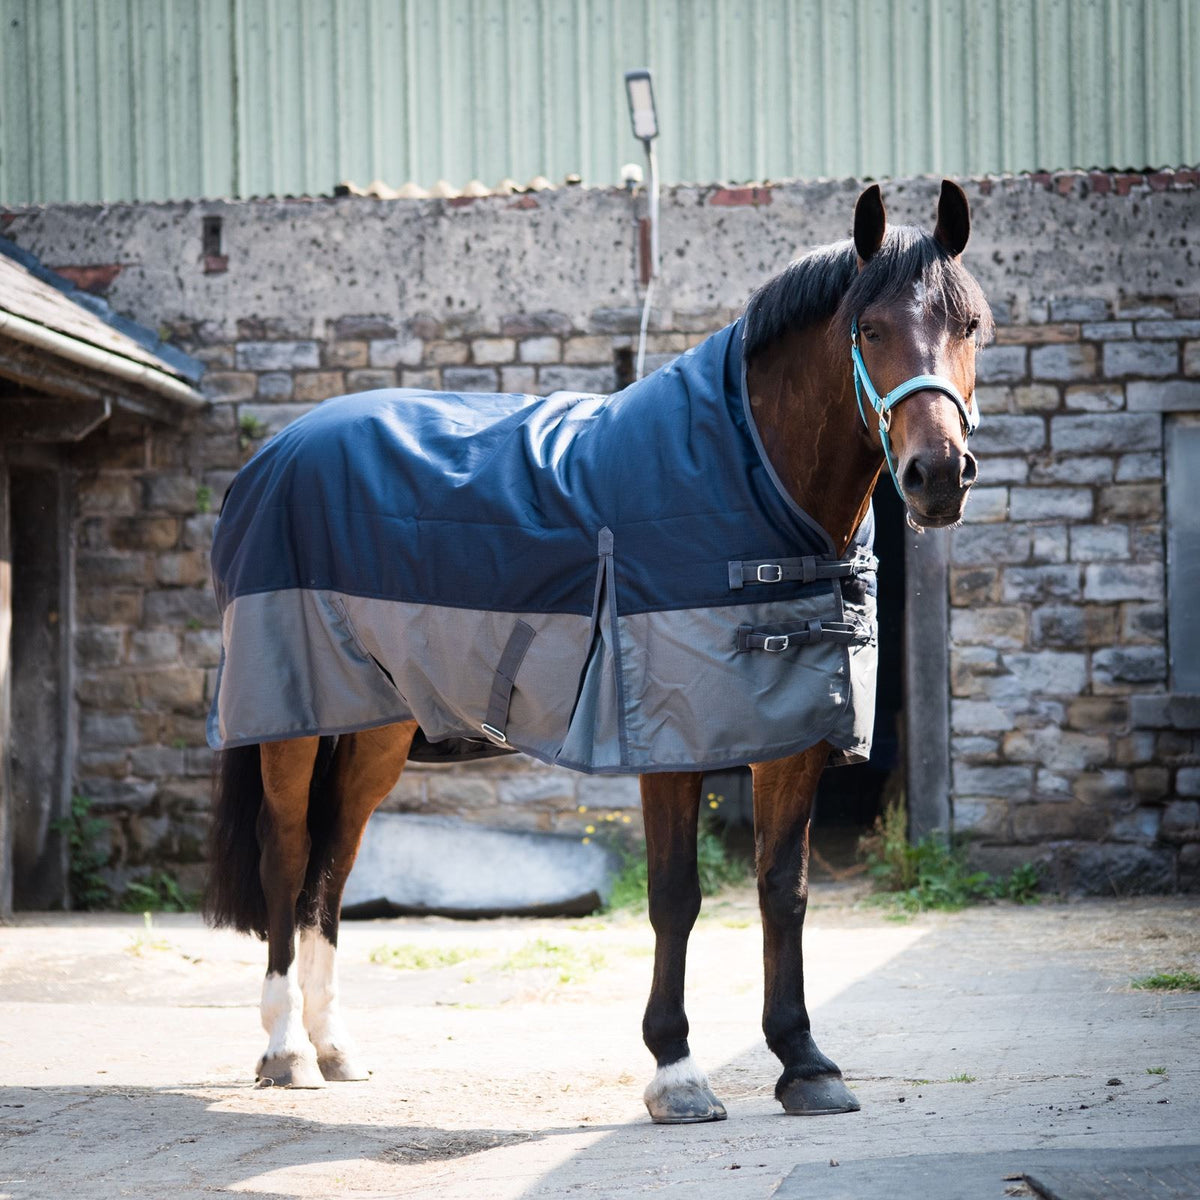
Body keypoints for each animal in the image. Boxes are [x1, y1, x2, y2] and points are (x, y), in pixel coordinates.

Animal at [204, 180, 991, 1122]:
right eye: (869, 328)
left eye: (972, 324)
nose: (937, 475)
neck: (747, 476)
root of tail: (273, 454)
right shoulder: (669, 744)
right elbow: (676, 896)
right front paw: (677, 1073)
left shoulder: (789, 736)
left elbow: (784, 890)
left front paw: (804, 1063)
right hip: (290, 722)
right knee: (288, 860)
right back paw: (286, 1049)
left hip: (372, 731)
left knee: (332, 865)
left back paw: (334, 1048)